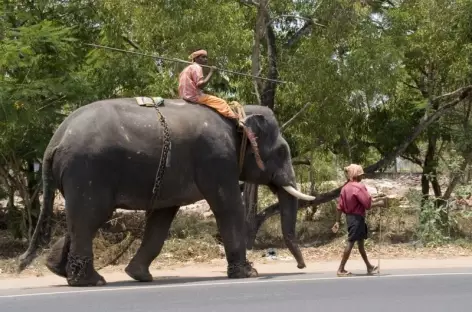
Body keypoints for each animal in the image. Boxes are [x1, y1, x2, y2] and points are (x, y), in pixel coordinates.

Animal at [16, 97, 316, 286]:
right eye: (282, 151)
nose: (301, 267)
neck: (236, 113)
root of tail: (55, 140)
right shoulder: (216, 158)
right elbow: (228, 206)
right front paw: (250, 274)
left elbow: (162, 217)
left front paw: (139, 276)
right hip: (88, 170)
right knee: (91, 217)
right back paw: (91, 281)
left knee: (80, 219)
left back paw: (57, 270)